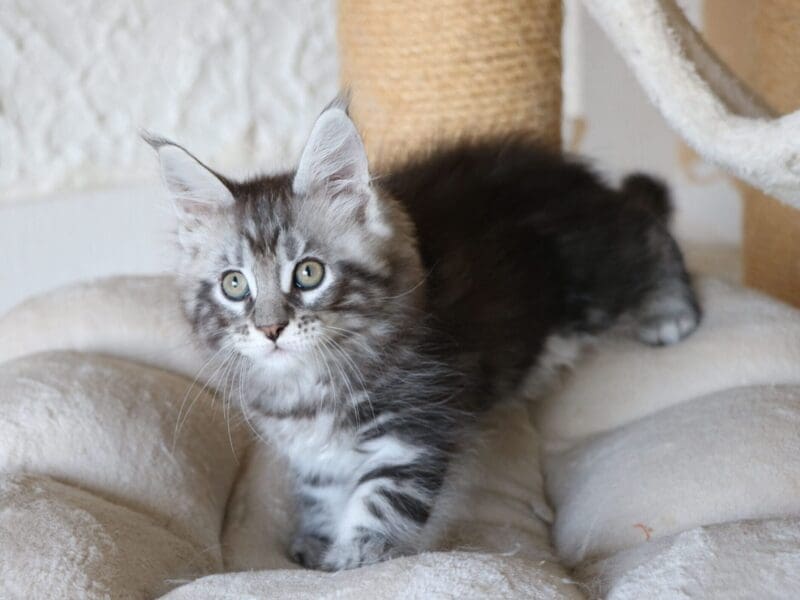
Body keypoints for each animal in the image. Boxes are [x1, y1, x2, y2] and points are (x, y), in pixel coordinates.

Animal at [147, 98, 696, 572]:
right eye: (234, 284)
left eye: (308, 273)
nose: (270, 329)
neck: (308, 383)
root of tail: (579, 180)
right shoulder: (311, 452)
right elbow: (323, 490)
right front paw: (319, 540)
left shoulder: (412, 426)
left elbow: (381, 500)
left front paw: (356, 556)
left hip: (597, 279)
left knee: (648, 233)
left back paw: (671, 313)